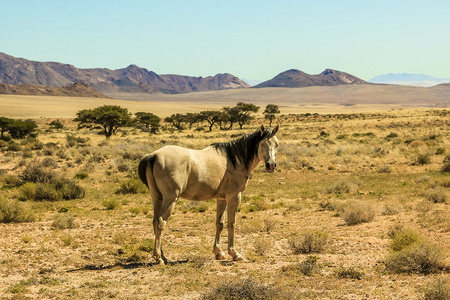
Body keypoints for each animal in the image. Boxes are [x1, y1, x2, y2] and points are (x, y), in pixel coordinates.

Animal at [138, 124, 278, 264]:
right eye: (262, 144)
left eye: (276, 144)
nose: (271, 165)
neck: (235, 159)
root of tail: (154, 155)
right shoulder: (234, 197)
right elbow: (231, 224)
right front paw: (234, 254)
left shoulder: (221, 199)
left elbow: (219, 224)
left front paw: (218, 252)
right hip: (171, 199)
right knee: (161, 223)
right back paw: (158, 258)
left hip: (158, 198)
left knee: (155, 222)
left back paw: (163, 257)